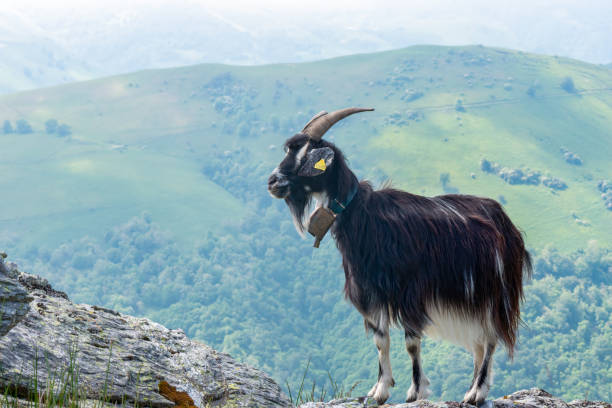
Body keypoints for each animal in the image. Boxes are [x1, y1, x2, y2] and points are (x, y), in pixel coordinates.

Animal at [268, 107, 532, 404]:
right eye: (289, 150)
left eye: (305, 157)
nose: (272, 182)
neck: (365, 217)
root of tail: (507, 225)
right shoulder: (371, 292)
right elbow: (381, 340)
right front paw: (379, 390)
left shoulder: (410, 291)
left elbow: (411, 343)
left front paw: (416, 391)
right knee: (478, 342)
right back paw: (471, 390)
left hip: (493, 292)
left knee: (490, 337)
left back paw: (477, 392)